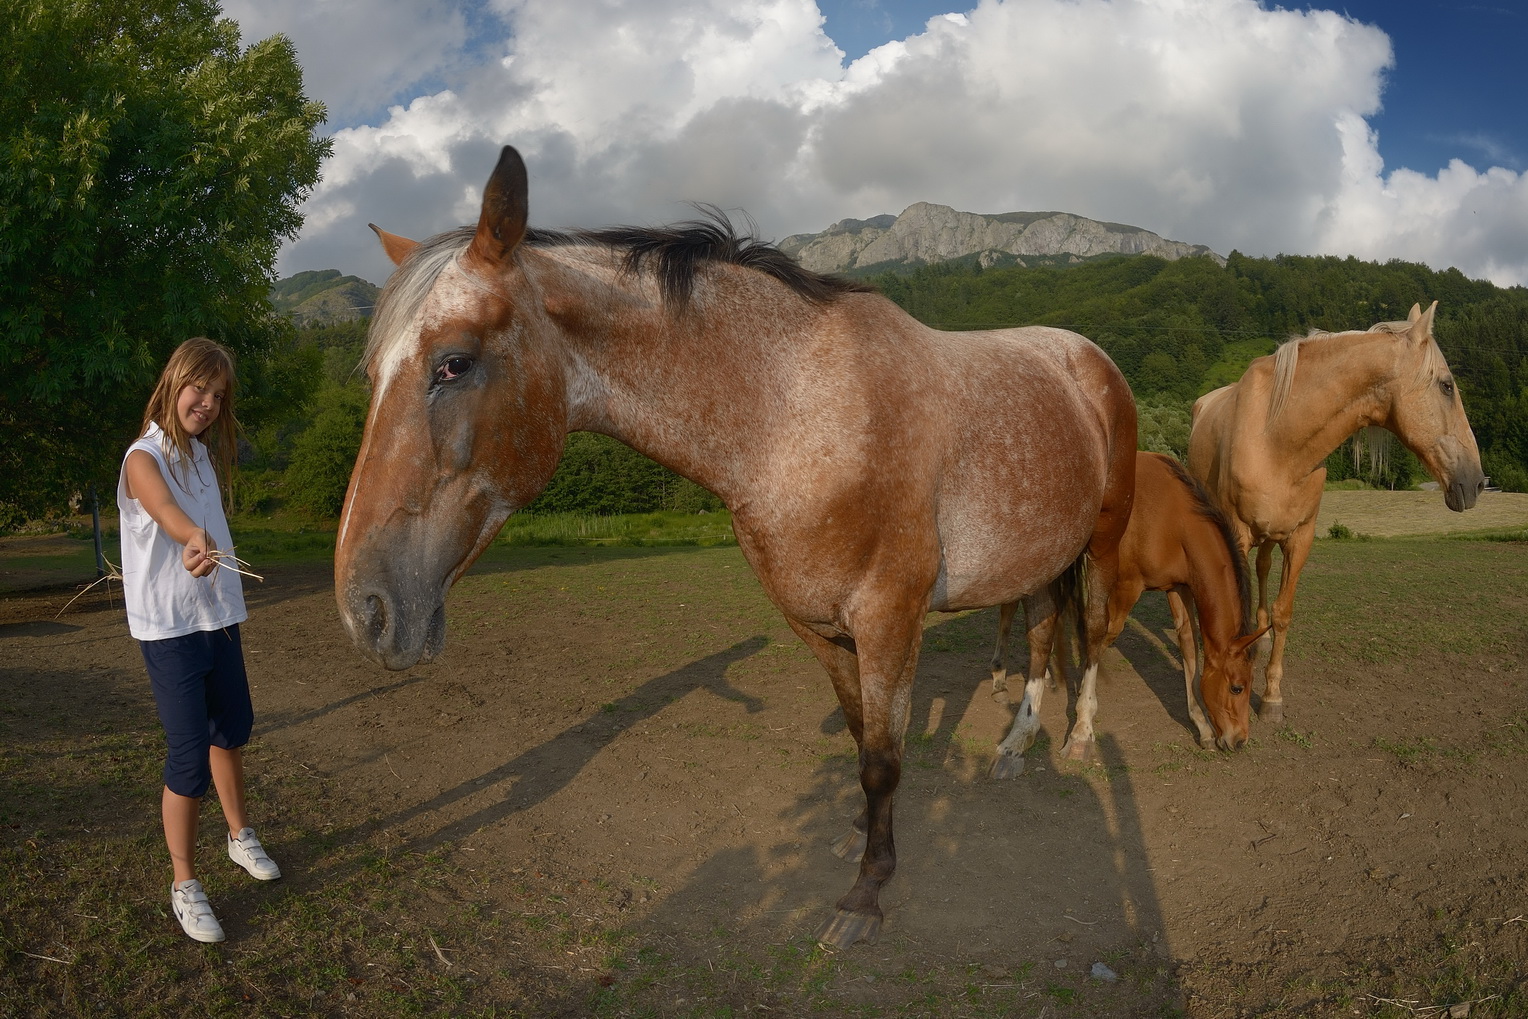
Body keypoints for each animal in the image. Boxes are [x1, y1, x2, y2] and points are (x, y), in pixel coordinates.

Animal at [337, 147, 1136, 953]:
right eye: (372, 374)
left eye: (453, 363)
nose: (366, 608)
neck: (800, 413)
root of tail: (1087, 358)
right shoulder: (817, 624)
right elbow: (862, 739)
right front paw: (859, 836)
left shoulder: (888, 618)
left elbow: (883, 759)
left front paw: (867, 892)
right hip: (1039, 557)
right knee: (1041, 632)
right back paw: (1016, 745)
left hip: (1102, 544)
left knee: (1094, 636)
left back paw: (1077, 739)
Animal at [990, 449, 1265, 776]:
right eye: (1237, 688)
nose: (1240, 740)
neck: (1174, 519)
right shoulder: (1127, 586)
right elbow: (1105, 634)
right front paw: (1083, 707)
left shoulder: (1179, 588)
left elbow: (1188, 646)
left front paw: (1203, 727)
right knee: (1009, 606)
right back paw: (1000, 679)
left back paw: (1043, 673)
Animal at [1185, 302, 1485, 724]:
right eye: (1447, 385)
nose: (1476, 482)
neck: (1277, 439)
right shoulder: (1238, 534)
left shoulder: (1300, 536)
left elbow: (1282, 613)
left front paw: (1272, 698)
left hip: (1271, 537)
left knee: (1263, 576)